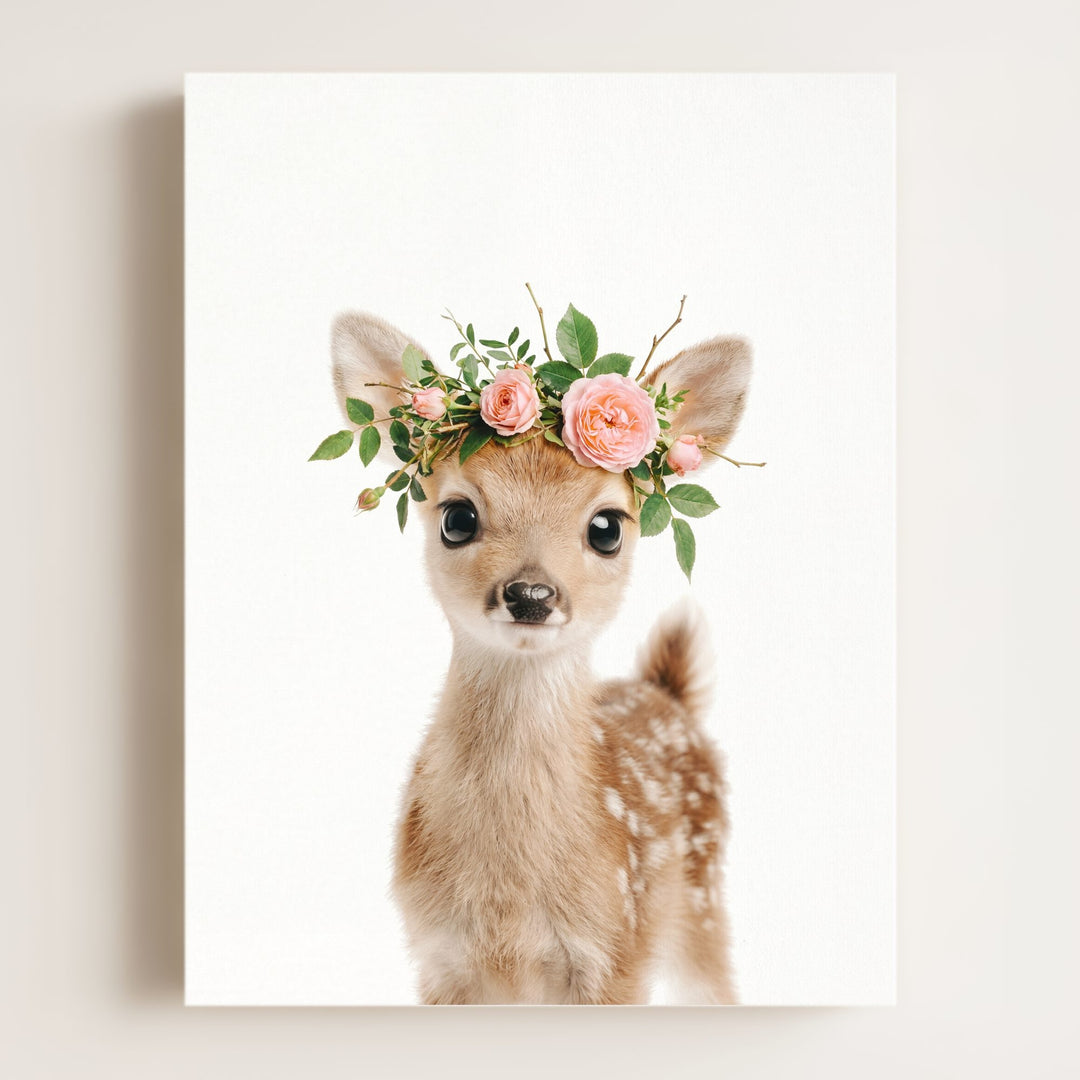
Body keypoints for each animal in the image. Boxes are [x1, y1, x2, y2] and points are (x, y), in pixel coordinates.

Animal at [329, 310, 752, 1004]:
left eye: (607, 527)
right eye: (457, 517)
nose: (531, 594)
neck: (510, 902)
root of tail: (666, 692)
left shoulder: (617, 951)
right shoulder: (438, 957)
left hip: (702, 900)